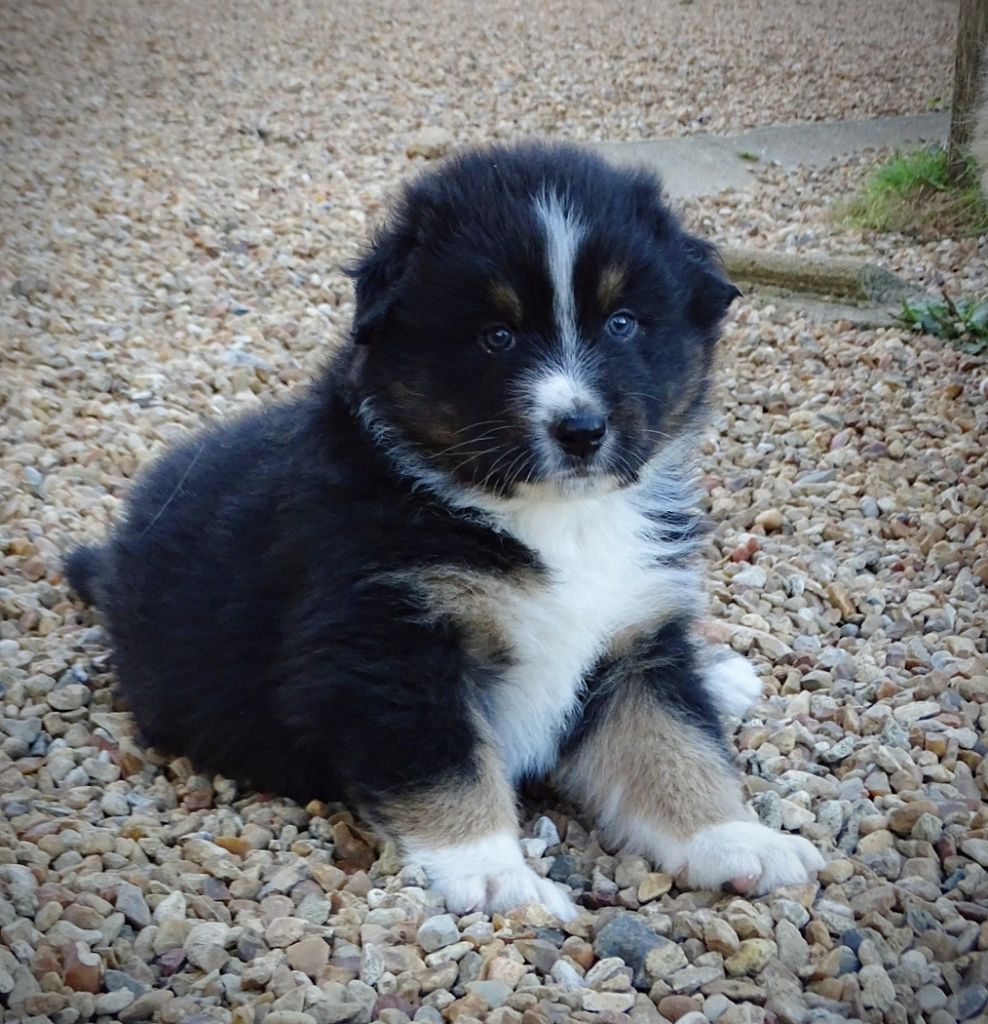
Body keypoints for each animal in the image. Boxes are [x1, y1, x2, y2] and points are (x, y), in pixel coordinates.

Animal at [66, 143, 824, 920]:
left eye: (622, 323)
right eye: (498, 336)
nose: (581, 430)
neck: (557, 518)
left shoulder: (636, 636)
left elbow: (675, 743)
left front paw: (734, 840)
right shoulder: (391, 645)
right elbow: (447, 766)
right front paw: (495, 874)